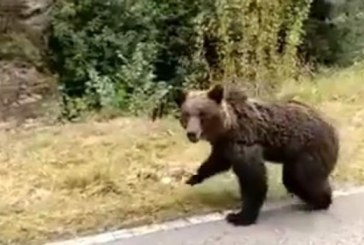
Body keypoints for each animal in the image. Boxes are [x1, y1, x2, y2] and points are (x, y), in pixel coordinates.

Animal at [175, 83, 340, 226]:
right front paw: (193, 178)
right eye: (186, 114)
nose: (192, 133)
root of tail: (332, 129)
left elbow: (253, 179)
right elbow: (216, 162)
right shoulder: (224, 146)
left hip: (307, 151)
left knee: (304, 178)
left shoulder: (244, 141)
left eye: (202, 114)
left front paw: (239, 217)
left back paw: (319, 202)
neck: (228, 128)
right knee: (291, 180)